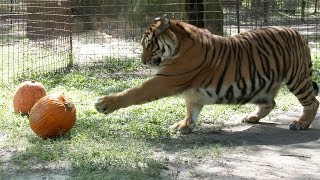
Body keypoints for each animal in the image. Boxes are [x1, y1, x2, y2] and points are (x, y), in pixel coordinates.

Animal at [95, 14, 318, 134]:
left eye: (149, 45)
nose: (143, 61)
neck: (178, 45)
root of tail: (299, 34)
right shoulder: (190, 91)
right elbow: (191, 108)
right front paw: (185, 125)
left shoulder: (166, 80)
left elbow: (135, 92)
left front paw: (105, 103)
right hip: (263, 84)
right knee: (270, 102)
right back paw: (252, 117)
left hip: (296, 78)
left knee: (312, 101)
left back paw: (301, 123)